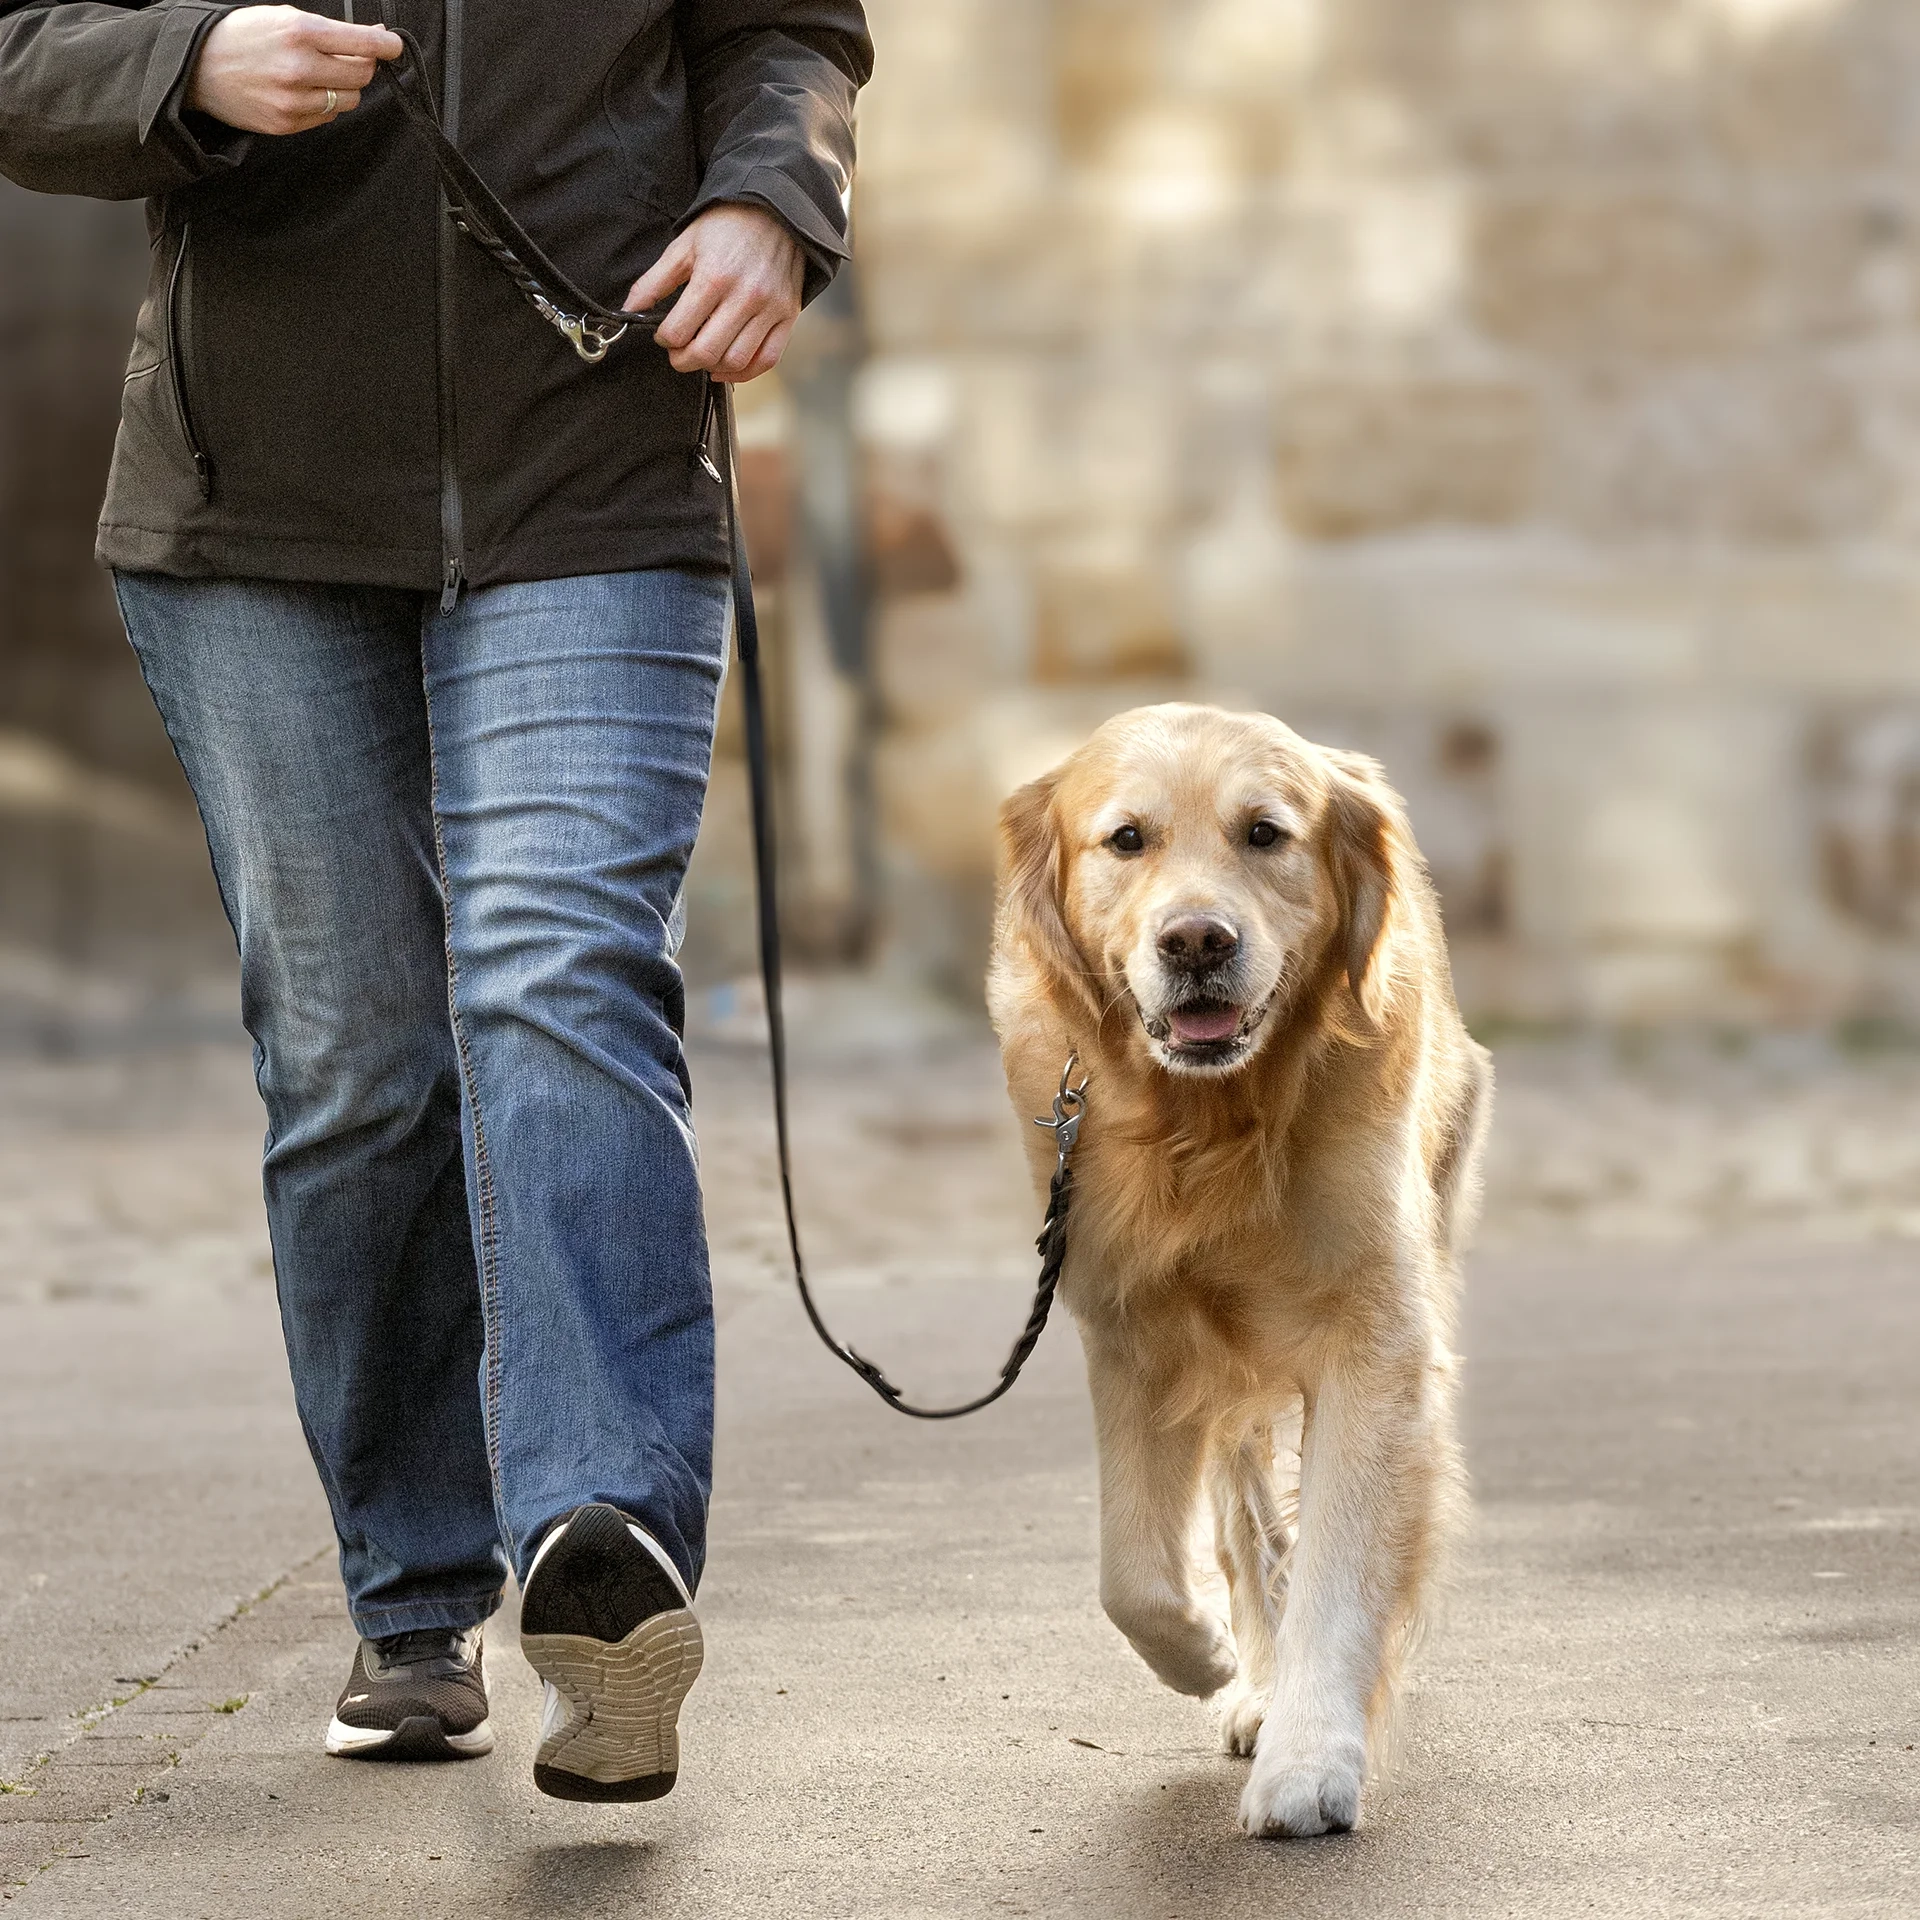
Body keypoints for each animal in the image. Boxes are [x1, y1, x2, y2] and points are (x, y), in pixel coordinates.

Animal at [983, 698, 1489, 1835]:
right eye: (1127, 839)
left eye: (1265, 833)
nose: (1197, 941)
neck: (1207, 1127)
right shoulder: (1131, 1331)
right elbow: (1133, 1573)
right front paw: (1209, 1658)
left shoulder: (1377, 1344)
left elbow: (1340, 1570)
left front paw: (1311, 1761)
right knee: (1243, 1518)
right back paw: (1249, 1675)